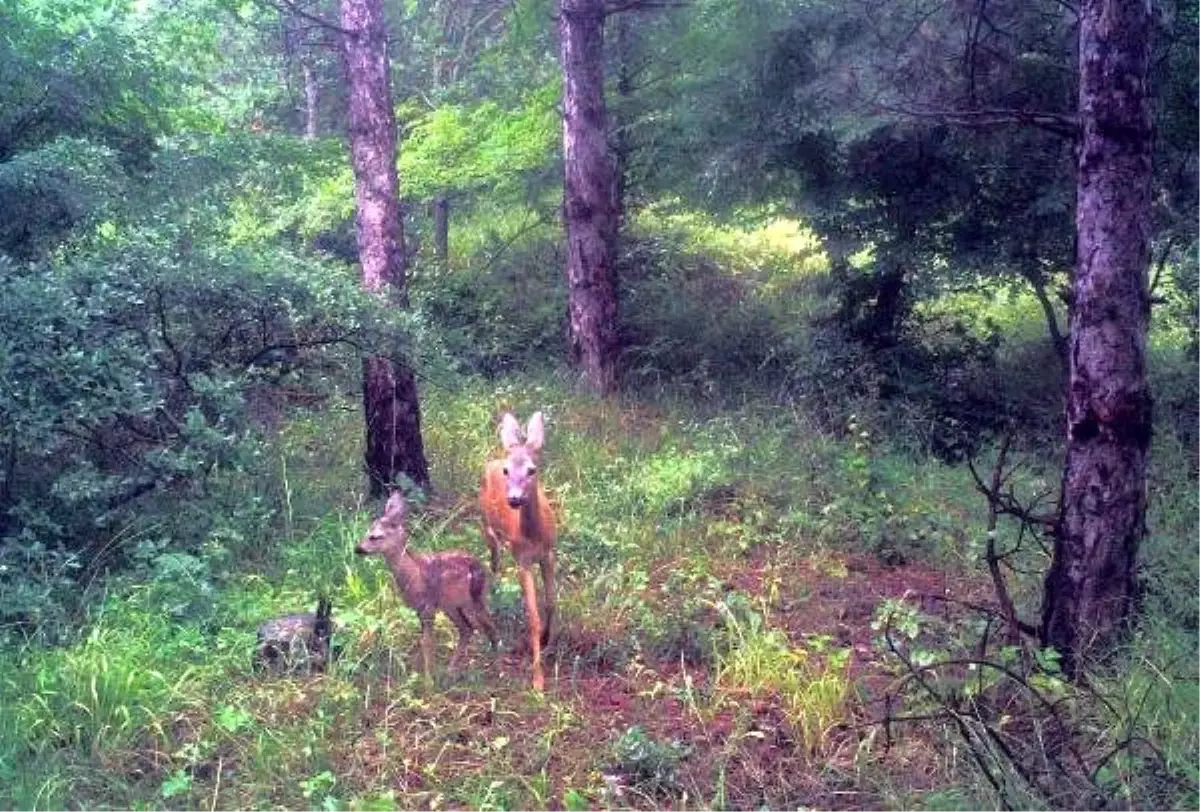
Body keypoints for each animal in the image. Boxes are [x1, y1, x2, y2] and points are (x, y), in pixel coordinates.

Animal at [360, 491, 501, 681]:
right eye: (368, 531)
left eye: (376, 536)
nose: (358, 549)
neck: (414, 576)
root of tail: (485, 568)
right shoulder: (419, 609)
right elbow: (423, 640)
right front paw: (421, 673)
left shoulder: (428, 606)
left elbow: (427, 641)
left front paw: (428, 680)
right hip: (451, 605)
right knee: (467, 629)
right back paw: (450, 670)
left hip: (475, 596)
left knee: (490, 627)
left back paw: (496, 666)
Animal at [477, 412, 556, 690]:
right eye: (507, 470)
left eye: (532, 469)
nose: (513, 499)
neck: (534, 536)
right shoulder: (523, 560)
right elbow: (532, 616)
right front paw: (538, 679)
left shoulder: (548, 553)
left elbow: (551, 602)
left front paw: (546, 638)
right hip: (486, 522)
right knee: (494, 558)